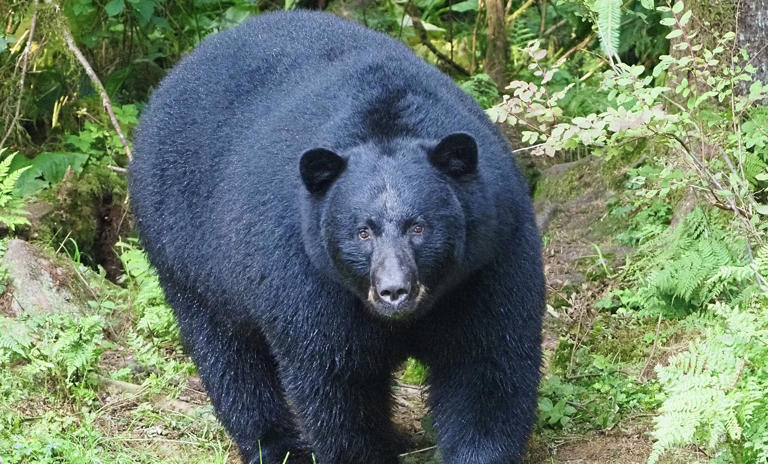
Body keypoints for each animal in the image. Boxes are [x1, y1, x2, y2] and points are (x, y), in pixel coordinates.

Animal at [130, 10, 545, 464]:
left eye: (419, 227)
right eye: (362, 232)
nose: (393, 291)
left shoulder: (489, 258)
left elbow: (486, 365)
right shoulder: (307, 276)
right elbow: (336, 383)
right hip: (187, 256)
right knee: (230, 361)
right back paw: (275, 445)